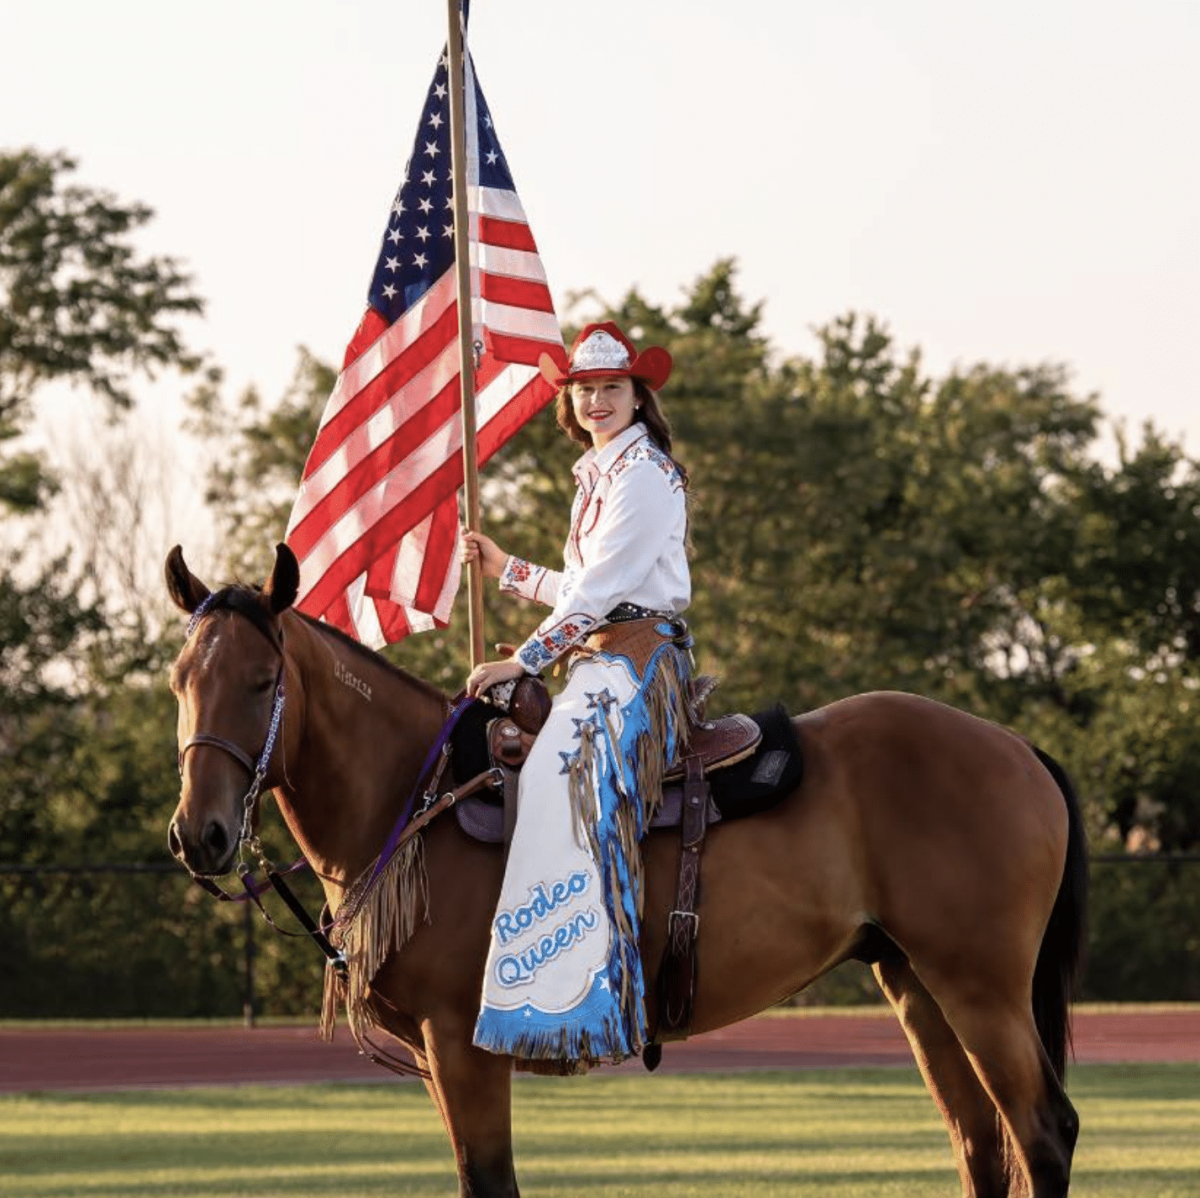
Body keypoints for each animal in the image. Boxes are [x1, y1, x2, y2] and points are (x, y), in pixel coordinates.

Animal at [164, 547, 1094, 1198]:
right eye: (179, 681)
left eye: (262, 681)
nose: (198, 836)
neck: (417, 797)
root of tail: (1017, 747)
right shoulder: (437, 1055)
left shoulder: (462, 1046)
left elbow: (489, 1182)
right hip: (915, 983)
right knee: (981, 1144)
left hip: (980, 986)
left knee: (1042, 1133)